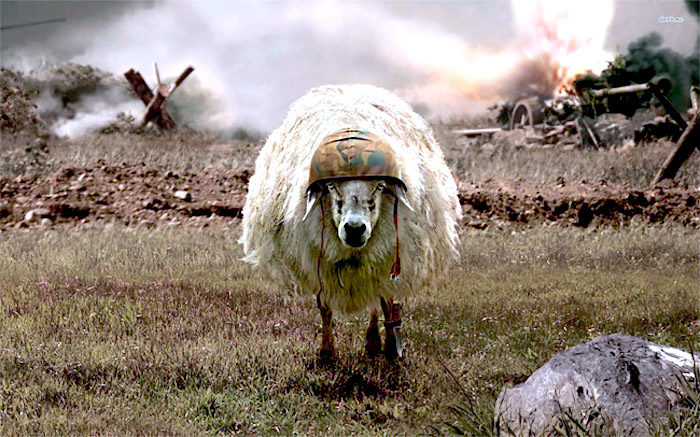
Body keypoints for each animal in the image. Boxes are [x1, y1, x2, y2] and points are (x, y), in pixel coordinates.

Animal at [240, 84, 461, 360]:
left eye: (380, 186)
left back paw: (375, 343)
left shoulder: (387, 254)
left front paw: (388, 347)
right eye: (331, 186)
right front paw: (326, 352)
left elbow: (385, 300)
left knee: (378, 297)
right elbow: (324, 306)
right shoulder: (319, 258)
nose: (354, 230)